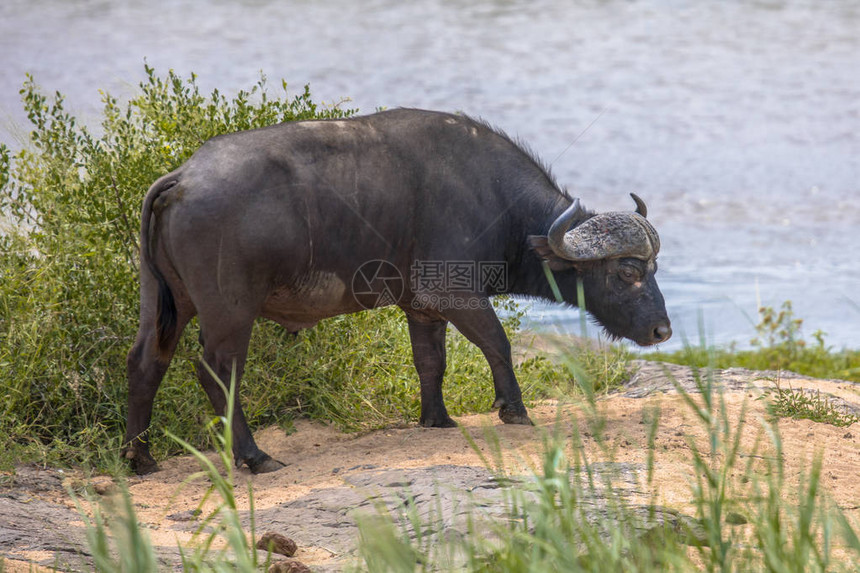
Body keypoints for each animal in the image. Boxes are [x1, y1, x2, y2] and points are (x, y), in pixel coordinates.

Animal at [121, 108, 672, 474]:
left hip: (166, 304)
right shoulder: (454, 293)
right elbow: (498, 344)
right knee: (217, 370)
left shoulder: (422, 307)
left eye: (654, 266)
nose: (662, 330)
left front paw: (437, 418)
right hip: (230, 312)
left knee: (146, 361)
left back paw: (140, 458)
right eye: (627, 271)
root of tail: (183, 177)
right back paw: (255, 457)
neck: (494, 200)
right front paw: (513, 410)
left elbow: (431, 361)